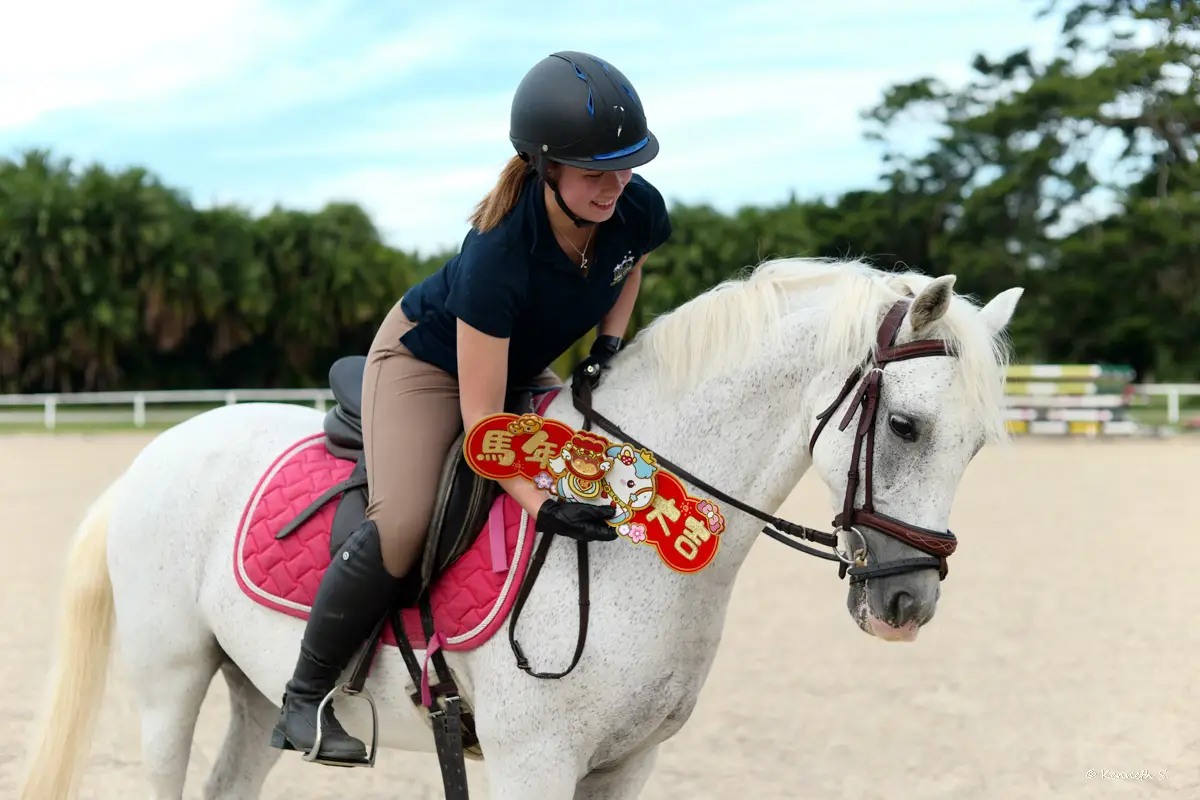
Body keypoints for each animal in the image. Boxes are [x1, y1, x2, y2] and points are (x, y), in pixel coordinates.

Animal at [18, 256, 1022, 800]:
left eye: (977, 444)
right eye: (906, 427)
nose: (905, 604)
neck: (633, 531)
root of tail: (158, 451)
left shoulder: (628, 764)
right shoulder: (536, 760)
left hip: (256, 687)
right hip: (170, 680)